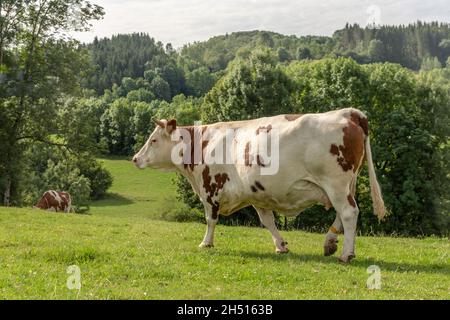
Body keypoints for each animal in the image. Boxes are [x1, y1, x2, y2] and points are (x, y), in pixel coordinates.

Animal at [132, 107, 384, 262]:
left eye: (153, 140)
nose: (135, 158)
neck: (202, 142)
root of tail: (348, 113)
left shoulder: (210, 188)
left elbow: (210, 220)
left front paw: (206, 243)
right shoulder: (257, 193)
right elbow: (268, 221)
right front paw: (281, 245)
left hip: (335, 183)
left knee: (349, 213)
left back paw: (346, 254)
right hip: (345, 185)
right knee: (343, 214)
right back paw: (330, 243)